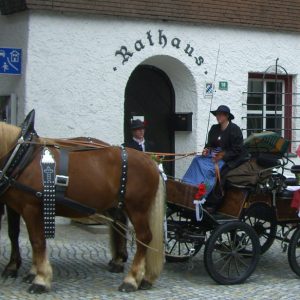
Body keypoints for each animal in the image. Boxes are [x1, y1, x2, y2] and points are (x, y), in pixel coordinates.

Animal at [0, 122, 165, 292]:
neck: (22, 156)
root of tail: (151, 162)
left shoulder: (31, 207)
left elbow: (37, 241)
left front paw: (40, 279)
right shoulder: (16, 206)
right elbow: (15, 234)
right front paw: (21, 269)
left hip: (137, 209)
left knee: (144, 238)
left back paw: (131, 279)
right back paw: (140, 275)